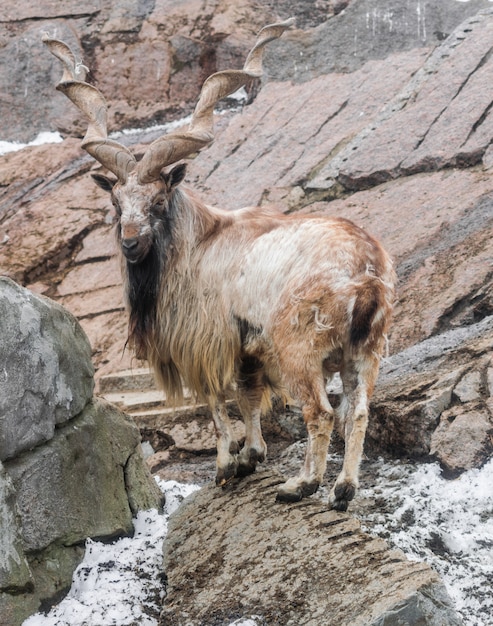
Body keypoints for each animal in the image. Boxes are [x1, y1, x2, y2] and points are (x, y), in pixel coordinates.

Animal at [44, 19, 394, 510]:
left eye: (157, 200)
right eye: (115, 202)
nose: (130, 244)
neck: (198, 244)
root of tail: (365, 269)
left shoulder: (205, 342)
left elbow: (217, 403)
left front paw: (228, 465)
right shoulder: (247, 348)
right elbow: (248, 397)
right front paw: (252, 455)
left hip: (300, 348)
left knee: (320, 412)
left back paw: (301, 485)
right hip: (364, 351)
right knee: (357, 411)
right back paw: (343, 489)